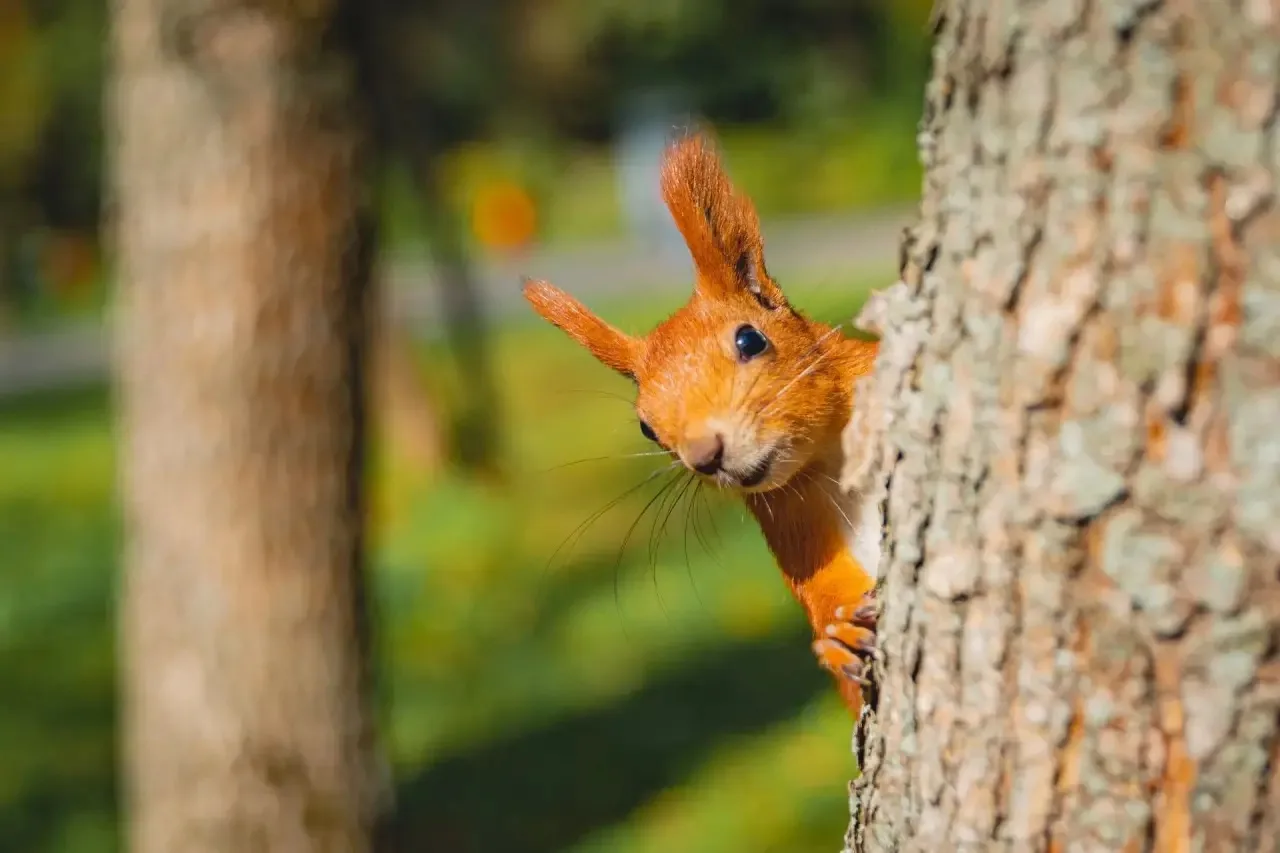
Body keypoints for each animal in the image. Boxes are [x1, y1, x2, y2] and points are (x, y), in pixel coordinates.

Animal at [522, 133, 882, 717]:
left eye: (750, 339)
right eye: (646, 428)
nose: (705, 455)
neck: (831, 459)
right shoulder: (790, 520)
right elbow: (818, 585)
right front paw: (835, 632)